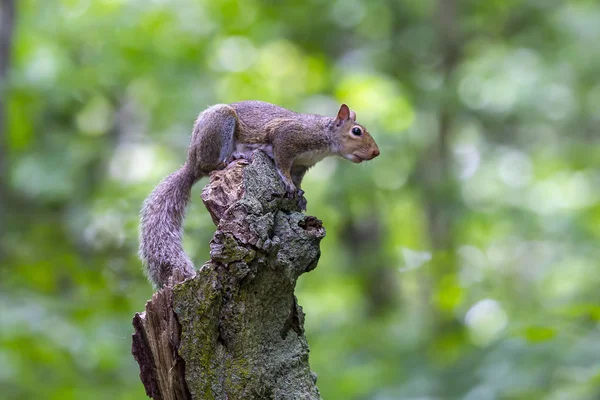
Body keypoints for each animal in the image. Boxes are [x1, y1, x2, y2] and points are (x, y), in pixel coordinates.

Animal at [138, 100, 378, 288]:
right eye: (356, 131)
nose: (376, 152)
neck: (325, 138)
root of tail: (191, 161)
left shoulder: (301, 164)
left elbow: (297, 178)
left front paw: (300, 195)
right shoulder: (288, 137)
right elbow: (282, 163)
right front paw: (288, 184)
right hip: (219, 125)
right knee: (208, 166)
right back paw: (232, 158)